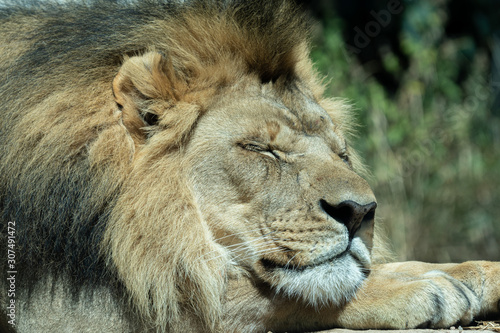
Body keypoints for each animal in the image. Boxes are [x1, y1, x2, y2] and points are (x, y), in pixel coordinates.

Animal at [0, 0, 498, 330]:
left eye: (341, 154)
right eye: (262, 149)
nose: (360, 212)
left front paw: (476, 271)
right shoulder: (72, 309)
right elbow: (258, 297)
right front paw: (423, 288)